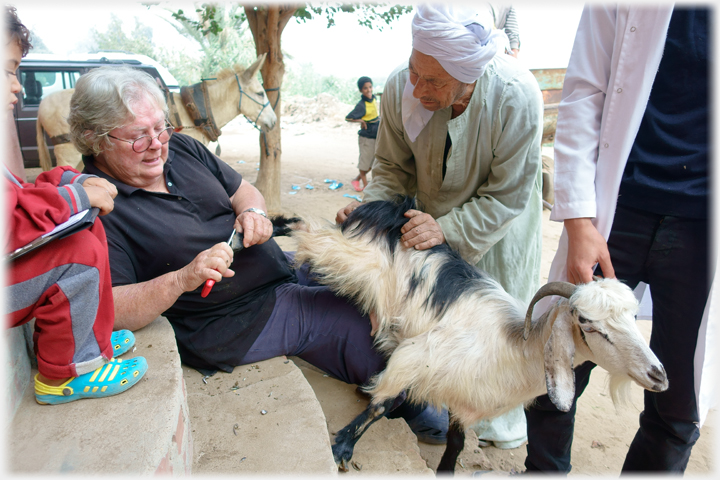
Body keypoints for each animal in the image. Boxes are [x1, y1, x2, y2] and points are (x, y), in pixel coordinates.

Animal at [288, 197, 668, 474]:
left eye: (634, 316)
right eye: (587, 323)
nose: (659, 377)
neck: (512, 347)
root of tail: (392, 205)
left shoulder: (462, 399)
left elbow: (455, 443)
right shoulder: (414, 357)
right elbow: (382, 404)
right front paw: (340, 448)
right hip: (347, 256)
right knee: (306, 232)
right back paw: (273, 225)